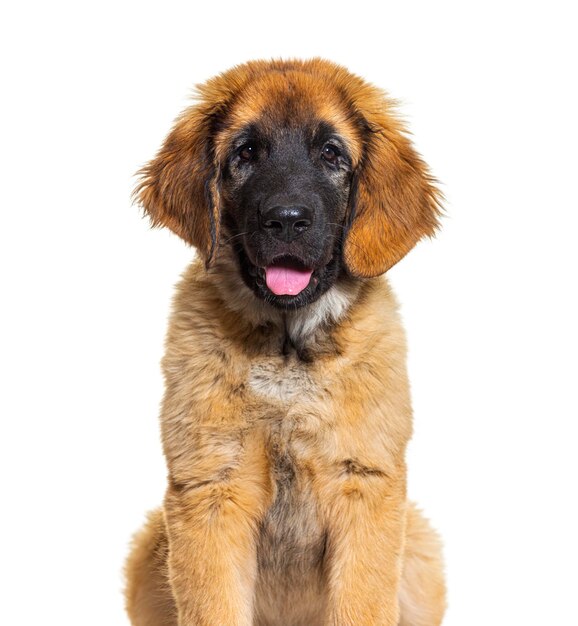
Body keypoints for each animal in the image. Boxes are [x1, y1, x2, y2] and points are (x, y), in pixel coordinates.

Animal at [125, 58, 446, 624]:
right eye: (246, 152)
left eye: (331, 153)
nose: (287, 220)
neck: (288, 351)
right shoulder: (212, 486)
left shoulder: (365, 483)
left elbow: (361, 604)